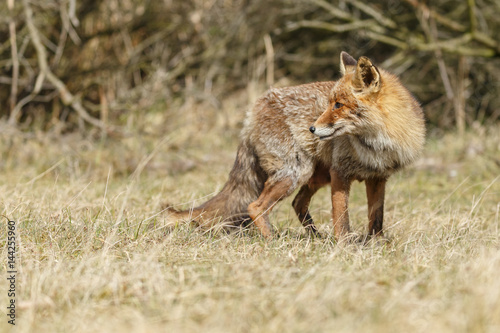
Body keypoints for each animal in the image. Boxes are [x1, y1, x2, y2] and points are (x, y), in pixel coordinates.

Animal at [165, 51, 426, 239]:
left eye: (338, 105)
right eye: (329, 103)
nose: (311, 128)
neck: (376, 145)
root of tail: (254, 109)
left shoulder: (378, 178)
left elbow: (376, 217)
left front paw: (376, 243)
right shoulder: (340, 172)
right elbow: (342, 217)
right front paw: (344, 246)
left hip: (314, 174)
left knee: (297, 203)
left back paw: (315, 238)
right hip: (295, 172)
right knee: (255, 206)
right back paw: (273, 240)